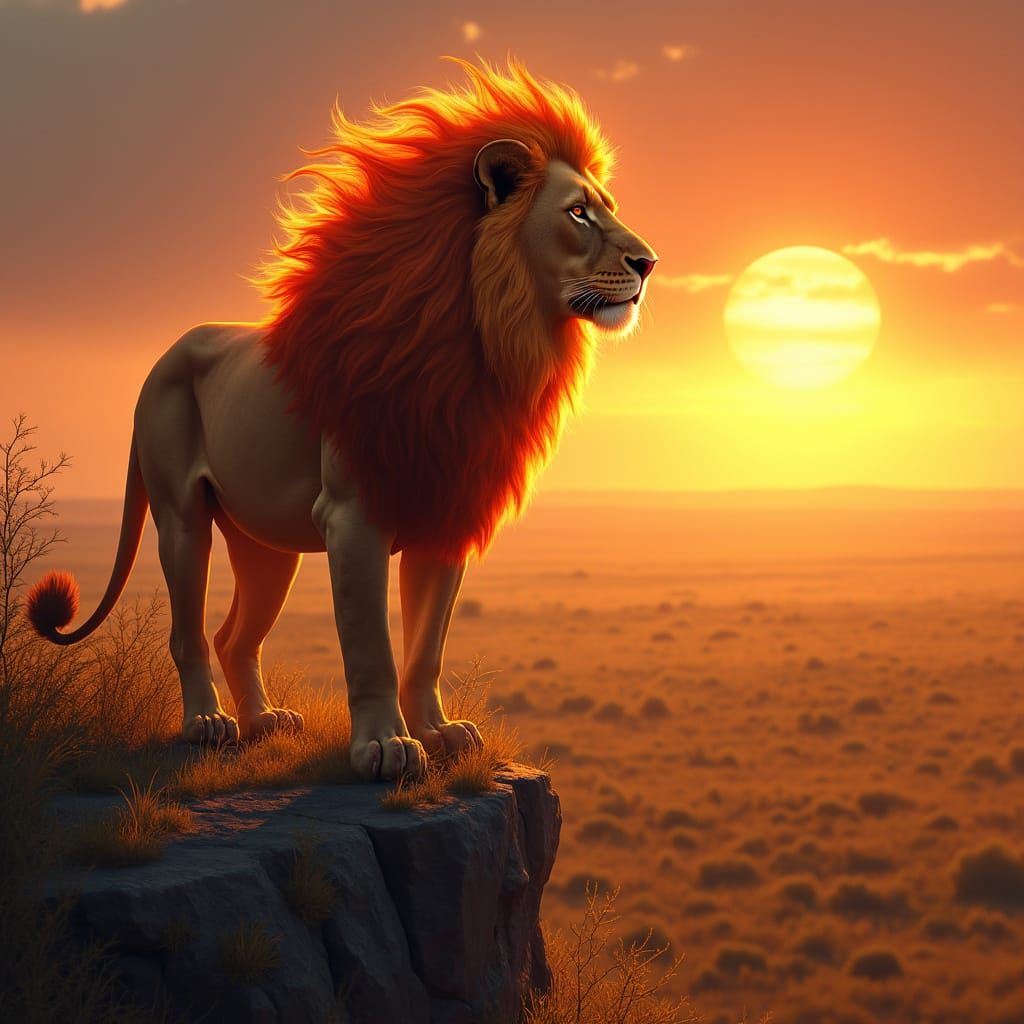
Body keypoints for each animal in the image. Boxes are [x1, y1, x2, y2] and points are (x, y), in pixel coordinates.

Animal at [26, 59, 657, 781]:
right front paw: (384, 746)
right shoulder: (354, 516)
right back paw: (207, 724)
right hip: (182, 519)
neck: (485, 341)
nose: (649, 263)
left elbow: (426, 649)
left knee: (234, 636)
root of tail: (164, 356)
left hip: (266, 545)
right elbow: (372, 649)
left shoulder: (446, 510)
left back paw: (265, 722)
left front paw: (439, 733)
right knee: (189, 633)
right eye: (578, 212)